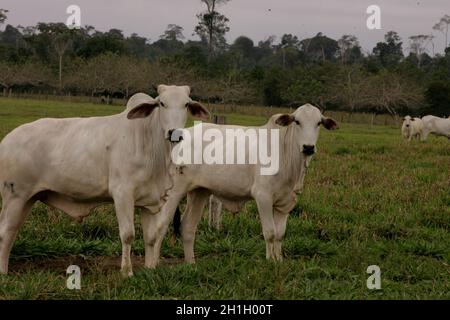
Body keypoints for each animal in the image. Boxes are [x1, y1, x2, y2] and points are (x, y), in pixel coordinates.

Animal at [0, 84, 209, 276]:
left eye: (186, 104)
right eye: (162, 103)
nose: (175, 133)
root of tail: (7, 140)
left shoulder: (149, 200)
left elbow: (151, 237)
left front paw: (150, 269)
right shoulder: (122, 194)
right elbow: (128, 234)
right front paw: (127, 272)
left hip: (28, 198)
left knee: (11, 232)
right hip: (15, 197)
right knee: (5, 233)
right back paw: (3, 272)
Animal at [144, 104, 338, 266]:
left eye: (319, 123)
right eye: (297, 121)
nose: (308, 147)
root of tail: (179, 136)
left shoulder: (286, 203)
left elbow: (280, 234)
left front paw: (279, 261)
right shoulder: (263, 197)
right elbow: (270, 232)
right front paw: (270, 262)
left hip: (199, 192)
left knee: (188, 227)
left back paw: (191, 264)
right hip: (175, 191)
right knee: (160, 226)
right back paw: (153, 265)